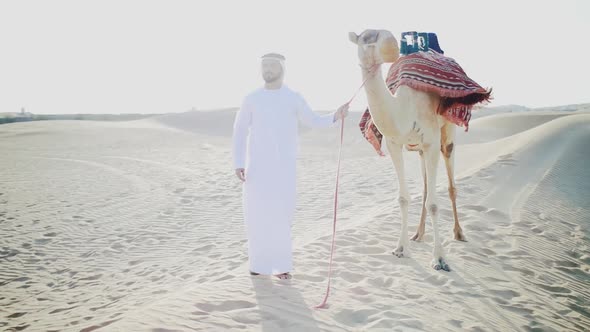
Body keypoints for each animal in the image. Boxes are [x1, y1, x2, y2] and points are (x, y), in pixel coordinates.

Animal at [350, 29, 470, 272]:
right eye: (365, 38)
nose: (391, 46)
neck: (403, 109)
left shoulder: (431, 140)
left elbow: (434, 203)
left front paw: (440, 259)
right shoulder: (394, 144)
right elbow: (404, 198)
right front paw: (401, 248)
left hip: (447, 131)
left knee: (450, 182)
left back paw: (459, 233)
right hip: (420, 148)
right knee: (424, 188)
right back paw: (418, 234)